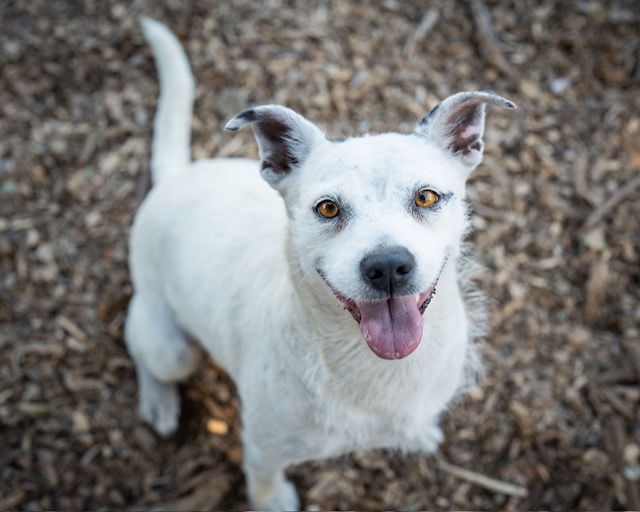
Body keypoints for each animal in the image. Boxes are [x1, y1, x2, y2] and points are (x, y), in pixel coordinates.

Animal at [127, 18, 516, 510]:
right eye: (328, 208)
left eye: (426, 197)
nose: (388, 266)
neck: (373, 365)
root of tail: (176, 176)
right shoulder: (263, 444)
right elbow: (262, 477)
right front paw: (273, 500)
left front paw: (418, 436)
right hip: (171, 348)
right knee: (139, 342)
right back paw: (157, 400)